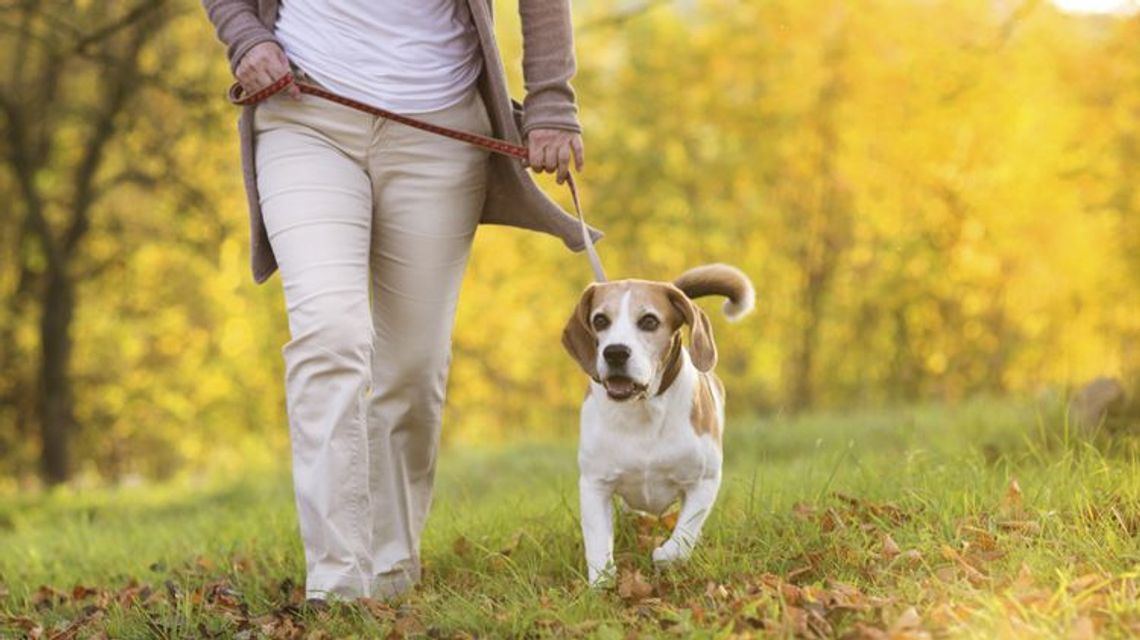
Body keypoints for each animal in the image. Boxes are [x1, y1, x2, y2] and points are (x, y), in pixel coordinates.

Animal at [563, 262, 756, 581]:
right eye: (600, 320)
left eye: (649, 321)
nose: (615, 352)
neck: (644, 410)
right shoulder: (594, 484)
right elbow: (598, 543)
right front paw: (602, 582)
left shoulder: (704, 481)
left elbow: (684, 535)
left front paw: (665, 555)